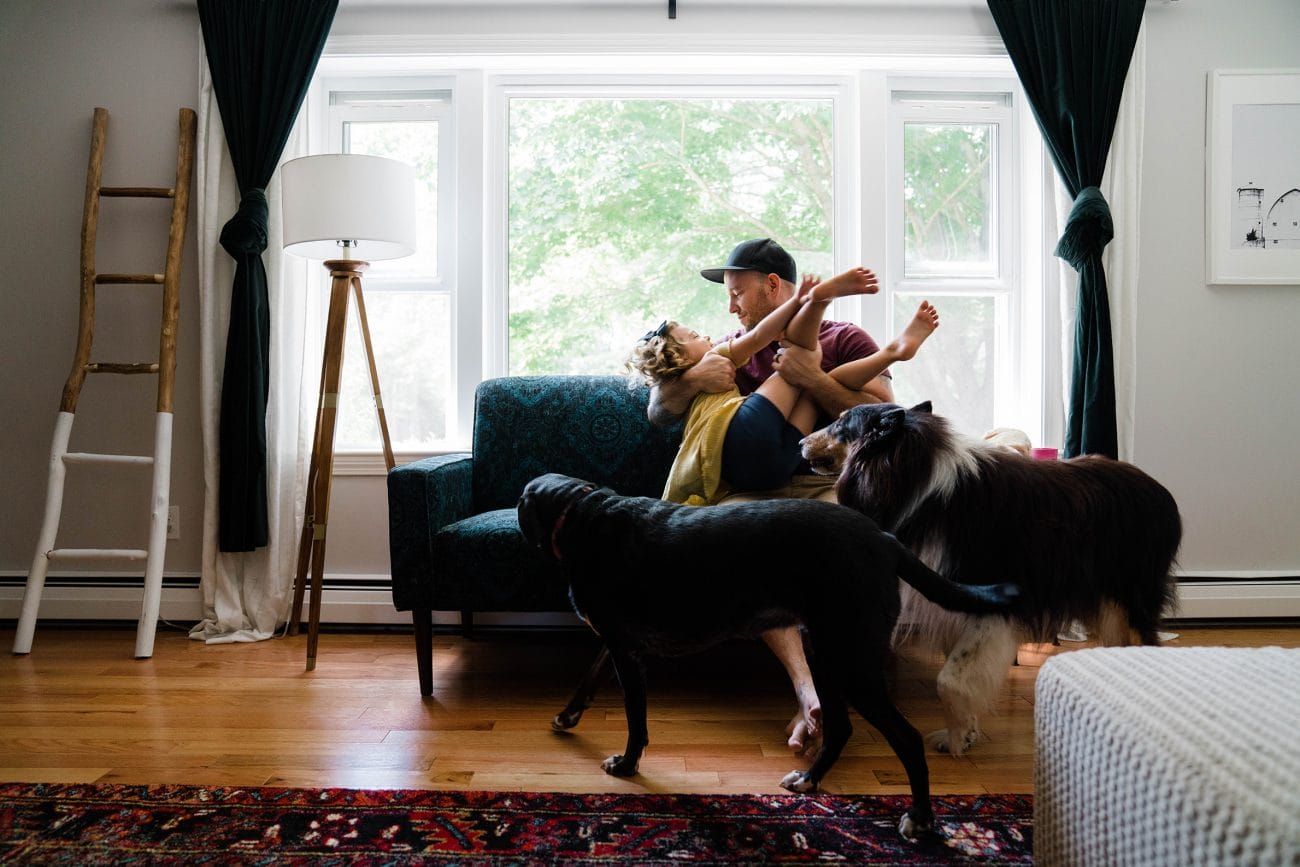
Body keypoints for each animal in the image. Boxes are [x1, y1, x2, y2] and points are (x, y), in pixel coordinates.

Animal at [514, 470, 1013, 837]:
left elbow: (636, 719)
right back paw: (809, 780)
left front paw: (627, 764)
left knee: (906, 738)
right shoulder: (617, 644)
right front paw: (568, 715)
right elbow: (588, 678)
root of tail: (884, 540)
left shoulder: (625, 650)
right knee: (841, 727)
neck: (581, 513)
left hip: (850, 659)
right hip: (827, 655)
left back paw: (922, 819)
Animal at [795, 402, 1185, 753]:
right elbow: (957, 668)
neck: (915, 482)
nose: (800, 443)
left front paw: (955, 740)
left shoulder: (991, 602)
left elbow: (949, 679)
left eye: (842, 423)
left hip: (1131, 597)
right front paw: (964, 732)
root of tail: (1162, 493)